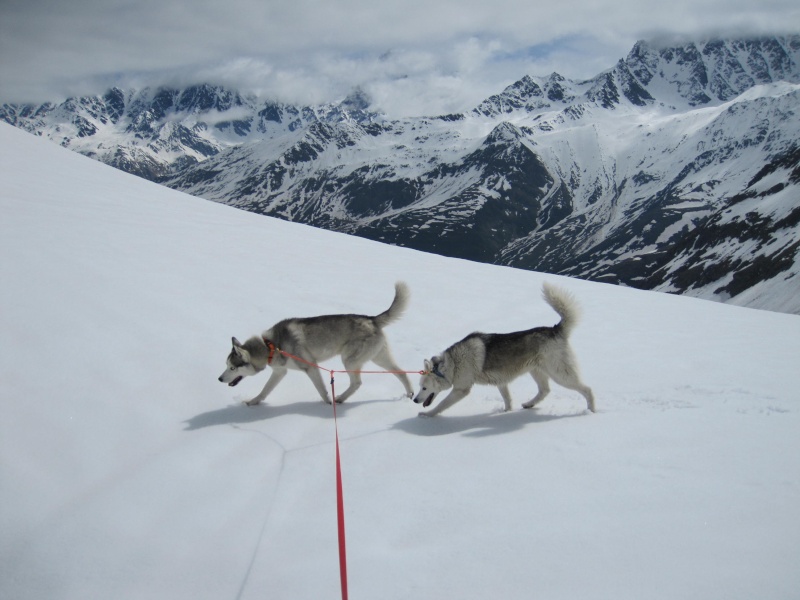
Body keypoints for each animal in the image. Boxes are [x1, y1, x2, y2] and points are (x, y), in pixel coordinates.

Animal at [222, 282, 416, 406]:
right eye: (227, 365)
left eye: (232, 367)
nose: (219, 379)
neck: (270, 345)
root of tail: (372, 319)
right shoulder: (280, 372)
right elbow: (265, 390)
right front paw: (253, 402)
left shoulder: (311, 367)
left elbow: (322, 390)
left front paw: (328, 403)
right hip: (378, 358)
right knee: (401, 373)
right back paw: (409, 394)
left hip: (349, 359)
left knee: (357, 383)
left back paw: (339, 399)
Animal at [412, 282, 592, 418]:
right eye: (419, 386)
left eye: (424, 388)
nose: (414, 400)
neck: (453, 363)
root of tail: (555, 329)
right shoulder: (501, 382)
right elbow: (507, 399)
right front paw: (506, 412)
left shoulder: (461, 390)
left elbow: (441, 405)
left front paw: (428, 415)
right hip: (536, 370)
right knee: (545, 390)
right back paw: (529, 404)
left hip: (560, 374)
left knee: (586, 389)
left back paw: (591, 411)